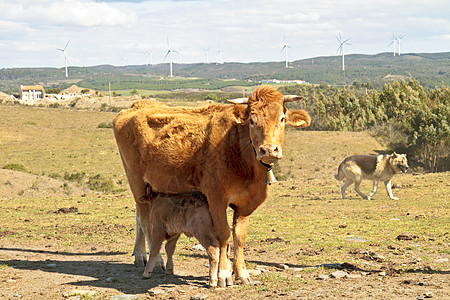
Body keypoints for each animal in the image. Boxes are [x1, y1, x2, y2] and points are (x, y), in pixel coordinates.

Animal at [113, 85, 310, 288]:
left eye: (282, 118)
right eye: (252, 121)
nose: (269, 150)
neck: (239, 151)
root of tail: (135, 107)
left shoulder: (245, 204)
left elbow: (239, 237)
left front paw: (242, 273)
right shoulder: (216, 198)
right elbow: (223, 235)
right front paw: (223, 274)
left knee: (139, 217)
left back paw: (140, 256)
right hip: (135, 180)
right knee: (145, 221)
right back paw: (156, 261)